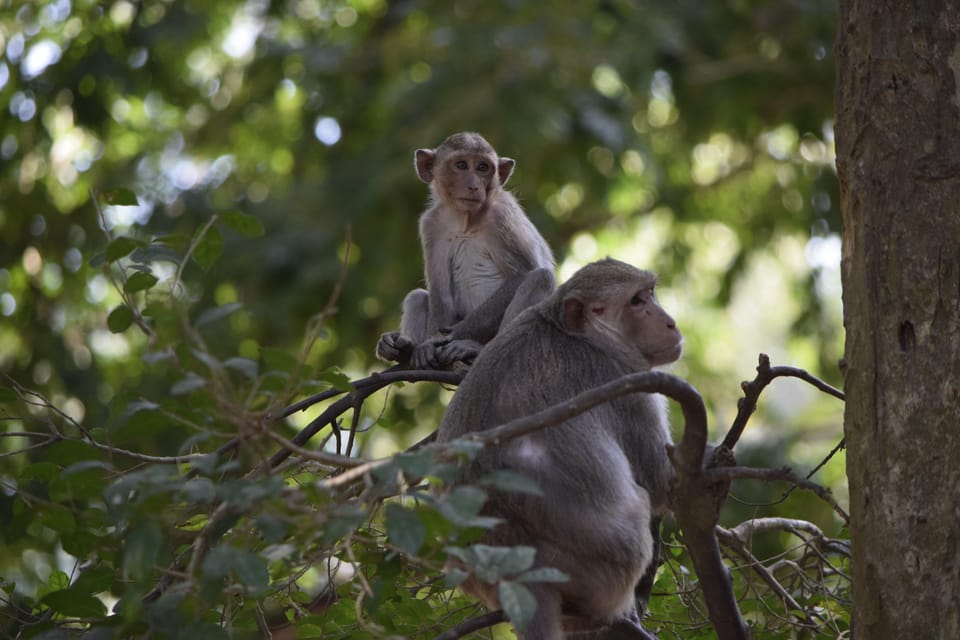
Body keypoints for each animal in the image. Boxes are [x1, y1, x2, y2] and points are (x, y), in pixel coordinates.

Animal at [376, 131, 556, 370]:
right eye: (461, 165)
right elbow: (440, 292)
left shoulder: (502, 217)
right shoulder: (431, 224)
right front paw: (425, 346)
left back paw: (476, 349)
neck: (465, 220)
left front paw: (447, 339)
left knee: (541, 278)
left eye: (482, 168)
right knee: (417, 296)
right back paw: (404, 348)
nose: (474, 186)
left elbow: (524, 274)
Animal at [436, 258, 684, 640]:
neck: (575, 333)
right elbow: (662, 481)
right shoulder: (625, 380)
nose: (669, 322)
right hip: (605, 568)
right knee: (640, 505)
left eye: (650, 293)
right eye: (636, 301)